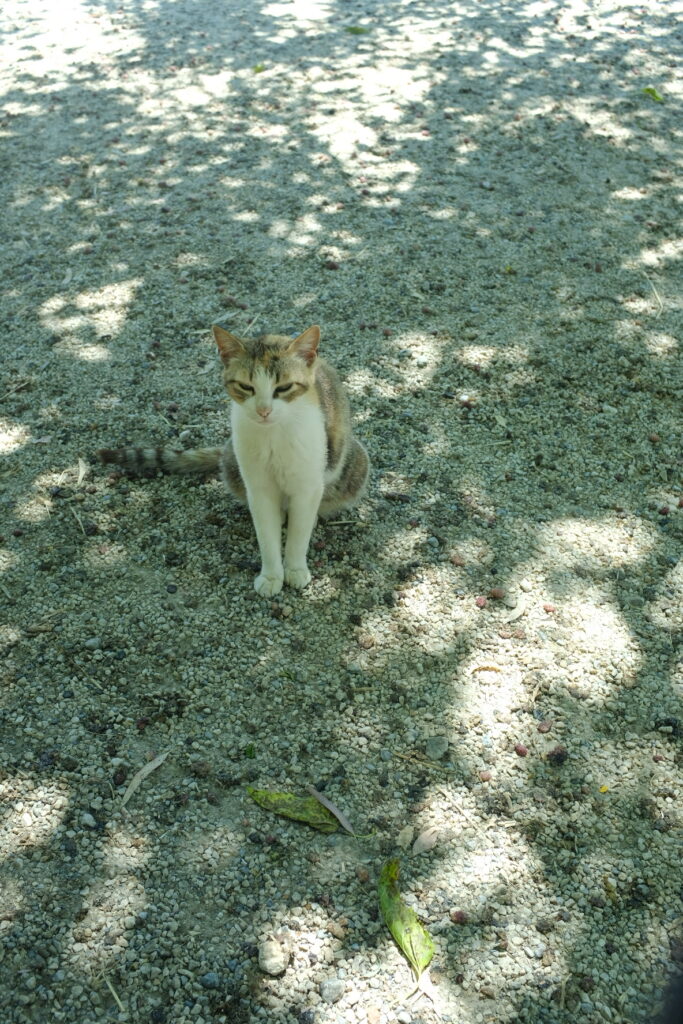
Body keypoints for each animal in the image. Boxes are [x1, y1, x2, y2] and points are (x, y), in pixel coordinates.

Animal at [97, 323, 368, 598]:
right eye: (246, 387)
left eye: (283, 388)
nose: (263, 411)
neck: (273, 436)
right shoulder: (258, 487)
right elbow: (266, 534)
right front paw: (271, 575)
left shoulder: (307, 484)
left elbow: (298, 535)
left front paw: (294, 568)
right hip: (231, 460)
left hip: (355, 463)